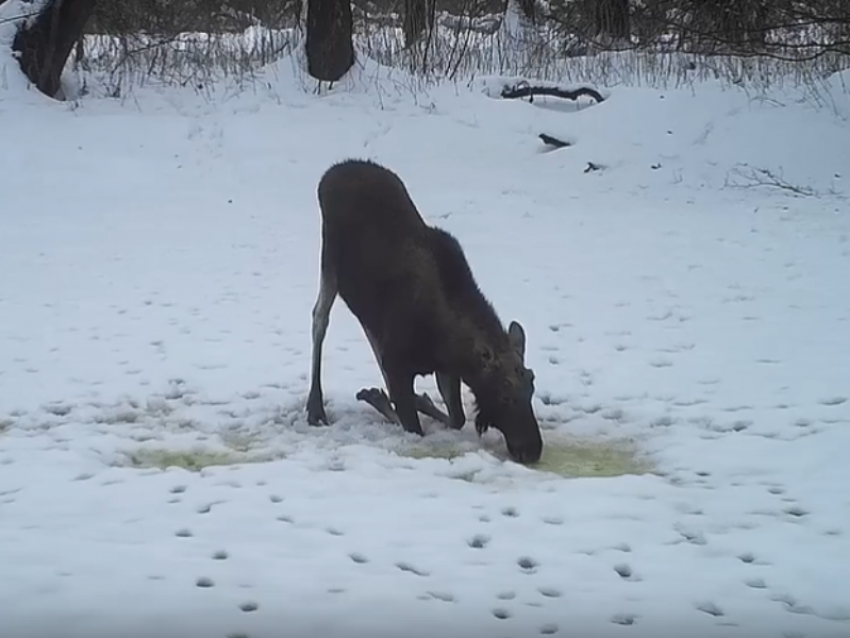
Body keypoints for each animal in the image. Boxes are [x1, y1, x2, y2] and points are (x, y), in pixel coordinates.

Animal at [304, 160, 544, 468]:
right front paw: (383, 399)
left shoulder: (442, 367)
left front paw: (417, 400)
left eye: (531, 385)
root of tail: (331, 173)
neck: (444, 341)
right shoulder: (399, 360)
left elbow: (456, 418)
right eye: (504, 393)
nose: (532, 449)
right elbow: (413, 427)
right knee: (319, 319)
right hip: (330, 262)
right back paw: (316, 407)